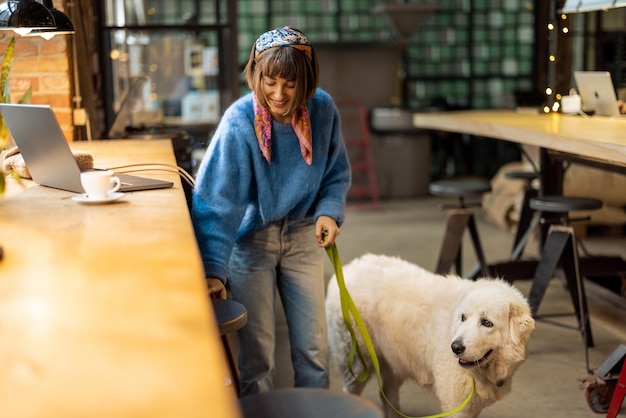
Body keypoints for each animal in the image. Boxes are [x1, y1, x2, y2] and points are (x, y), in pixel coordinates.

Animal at [324, 253, 532, 416]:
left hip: (394, 360)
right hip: (358, 362)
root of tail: (345, 269)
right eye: (463, 317)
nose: (455, 347)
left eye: (487, 322)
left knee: (387, 395)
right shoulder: (456, 406)